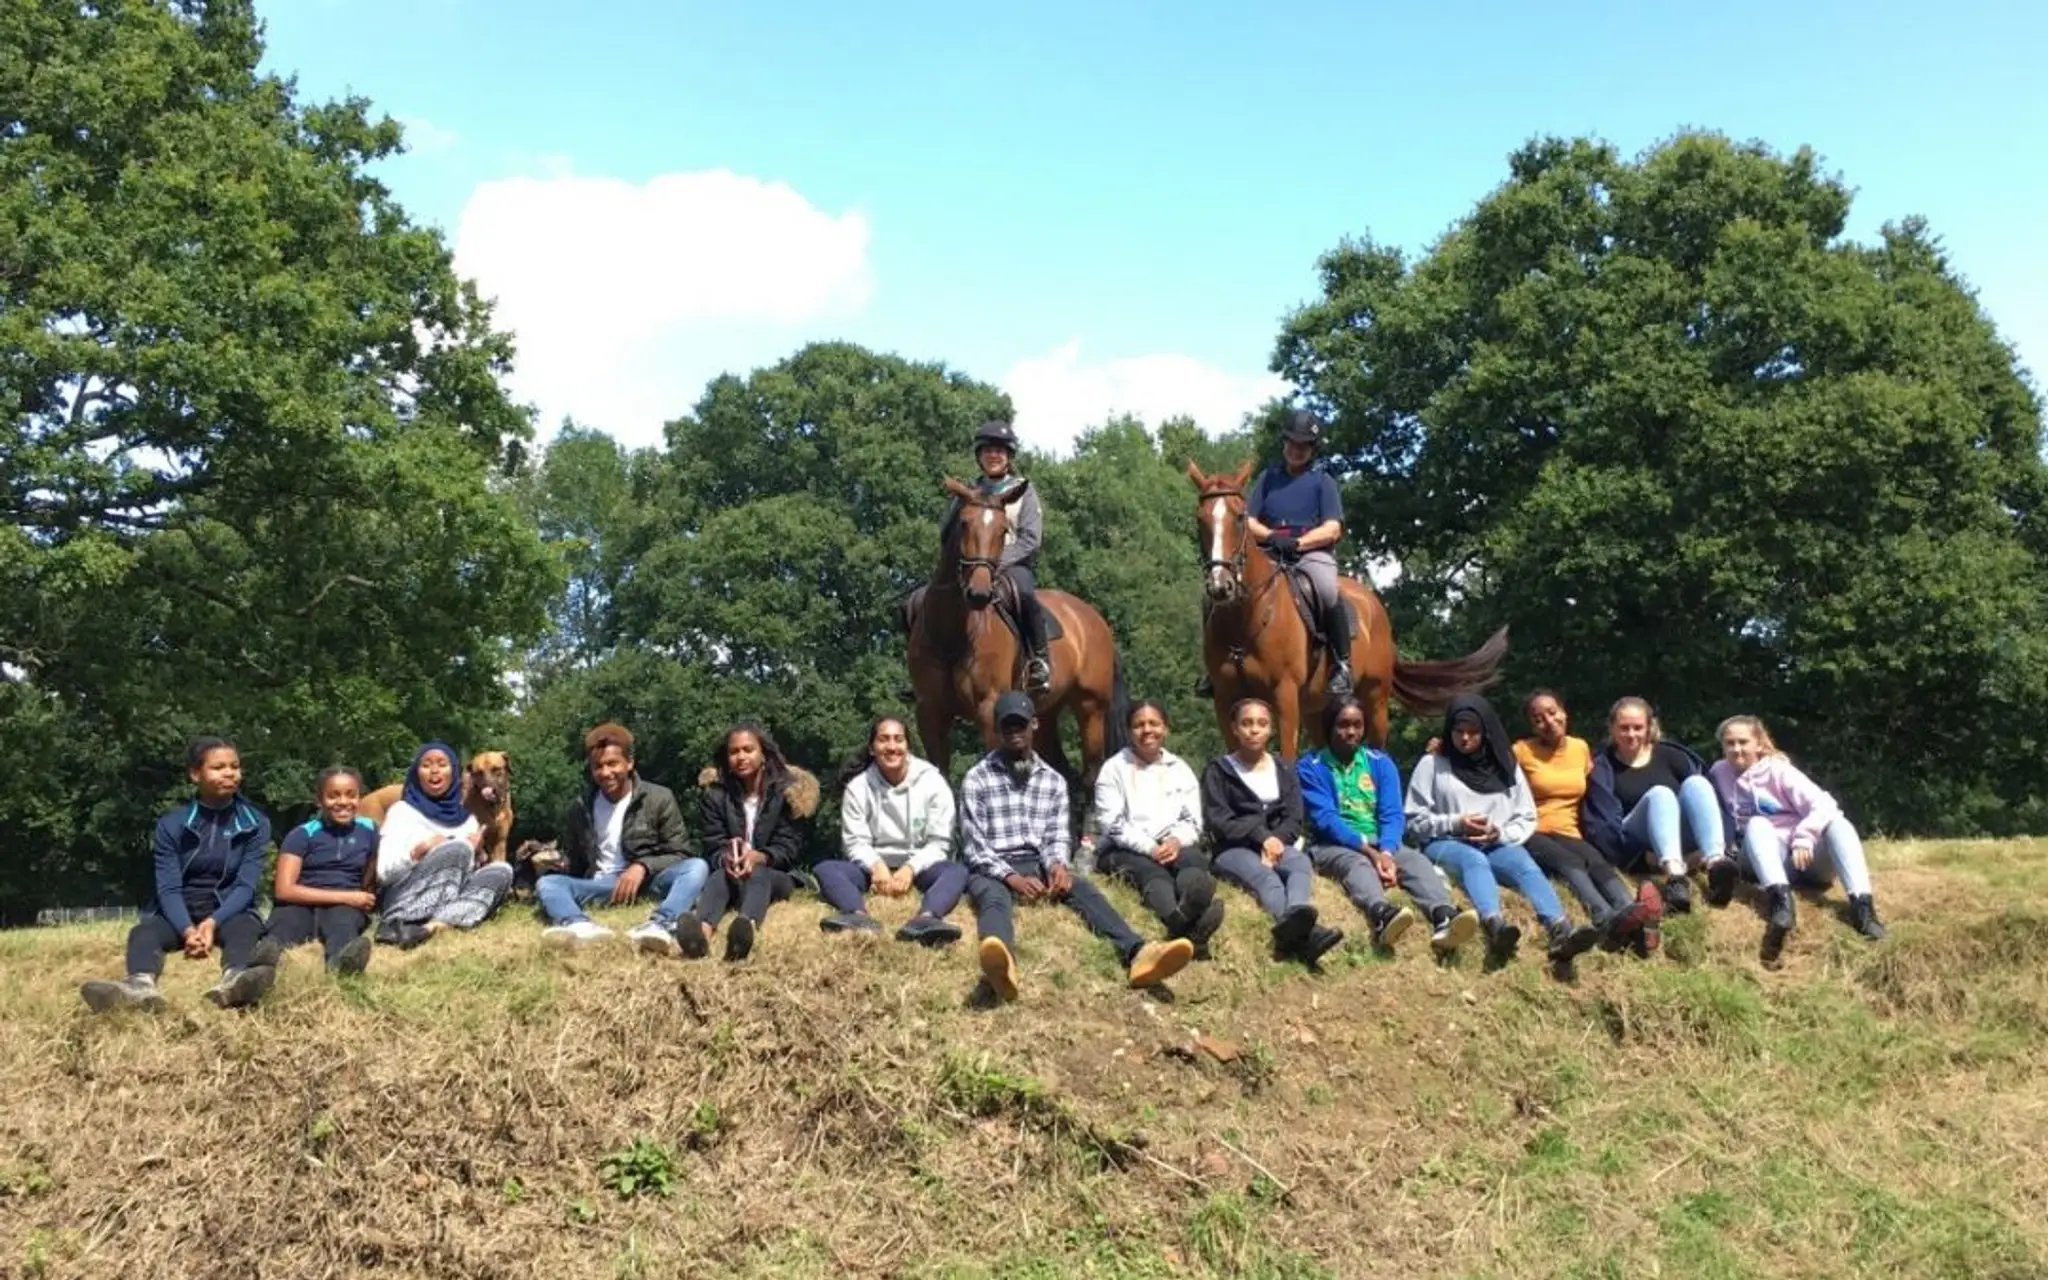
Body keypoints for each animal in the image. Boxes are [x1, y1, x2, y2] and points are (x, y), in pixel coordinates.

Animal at [906, 477, 1129, 799]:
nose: (979, 593)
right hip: (1045, 715)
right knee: (1065, 774)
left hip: (1091, 708)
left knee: (1090, 775)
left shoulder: (989, 709)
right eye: (964, 522)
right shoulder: (930, 712)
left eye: (1003, 530)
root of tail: (1095, 619)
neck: (953, 635)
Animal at [1187, 459, 1508, 758]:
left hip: (1374, 699)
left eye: (1240, 517)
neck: (1244, 621)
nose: (1221, 586)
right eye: (1200, 518)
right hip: (1316, 707)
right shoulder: (1225, 700)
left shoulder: (1285, 696)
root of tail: (1374, 603)